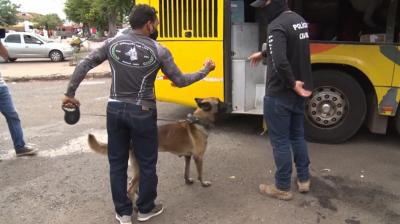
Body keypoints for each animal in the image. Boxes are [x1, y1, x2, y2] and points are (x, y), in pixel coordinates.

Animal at [87, 97, 225, 199]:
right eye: (219, 102)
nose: (228, 103)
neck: (198, 121)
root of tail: (131, 140)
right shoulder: (199, 158)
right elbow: (200, 173)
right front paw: (203, 183)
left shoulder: (188, 157)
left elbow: (186, 171)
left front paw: (188, 181)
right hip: (141, 167)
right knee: (130, 189)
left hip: (136, 168)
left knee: (131, 183)